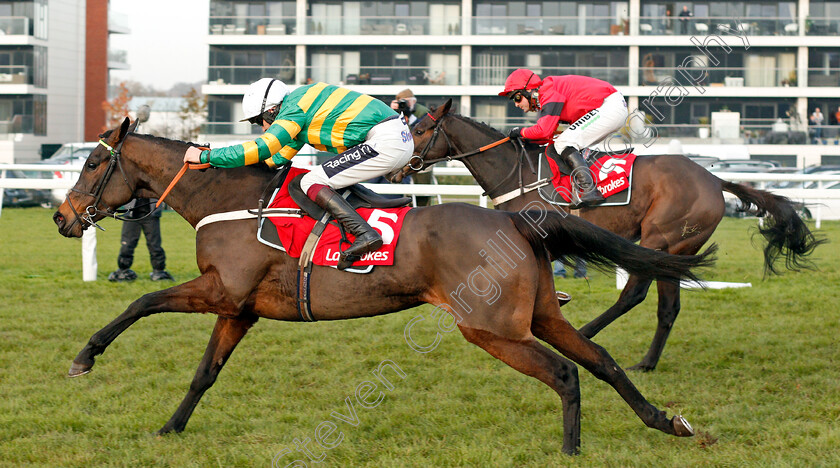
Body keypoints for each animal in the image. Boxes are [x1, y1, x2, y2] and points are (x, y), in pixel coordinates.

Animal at [52, 118, 716, 458]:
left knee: (565, 373)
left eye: (92, 163)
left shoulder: (219, 291)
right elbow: (204, 374)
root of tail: (513, 221)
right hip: (539, 315)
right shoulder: (239, 308)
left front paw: (85, 357)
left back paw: (572, 450)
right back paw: (666, 422)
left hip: (491, 327)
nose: (62, 217)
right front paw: (171, 429)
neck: (230, 200)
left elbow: (140, 301)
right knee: (600, 359)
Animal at [398, 100, 824, 372]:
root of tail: (714, 179)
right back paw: (647, 363)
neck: (516, 170)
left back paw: (588, 333)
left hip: (659, 238)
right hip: (678, 247)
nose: (398, 166)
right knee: (668, 307)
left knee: (633, 294)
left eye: (418, 129)